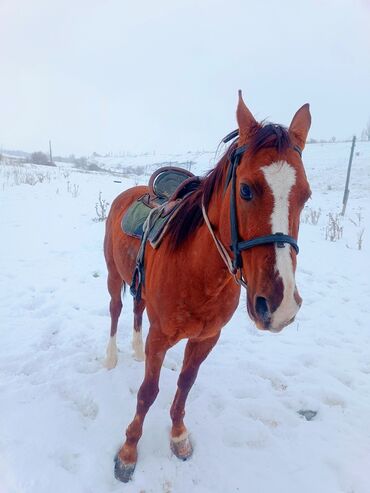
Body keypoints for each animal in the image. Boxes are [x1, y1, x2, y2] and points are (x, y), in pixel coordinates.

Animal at [102, 92, 310, 480]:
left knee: (136, 309)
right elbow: (148, 392)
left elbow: (185, 384)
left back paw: (135, 350)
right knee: (116, 310)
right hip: (112, 275)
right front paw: (128, 451)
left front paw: (178, 436)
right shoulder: (160, 337)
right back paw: (111, 357)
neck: (199, 273)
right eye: (245, 189)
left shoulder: (206, 338)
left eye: (305, 196)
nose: (280, 306)